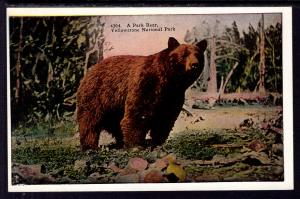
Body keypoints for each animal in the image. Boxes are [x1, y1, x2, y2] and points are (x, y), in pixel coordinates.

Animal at [76, 37, 207, 150]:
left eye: (198, 55)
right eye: (184, 54)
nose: (194, 65)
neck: (169, 80)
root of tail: (90, 70)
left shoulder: (173, 95)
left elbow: (165, 118)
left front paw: (157, 142)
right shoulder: (145, 84)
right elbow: (138, 113)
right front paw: (136, 145)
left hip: (114, 106)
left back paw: (120, 141)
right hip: (98, 94)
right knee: (90, 120)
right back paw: (90, 146)